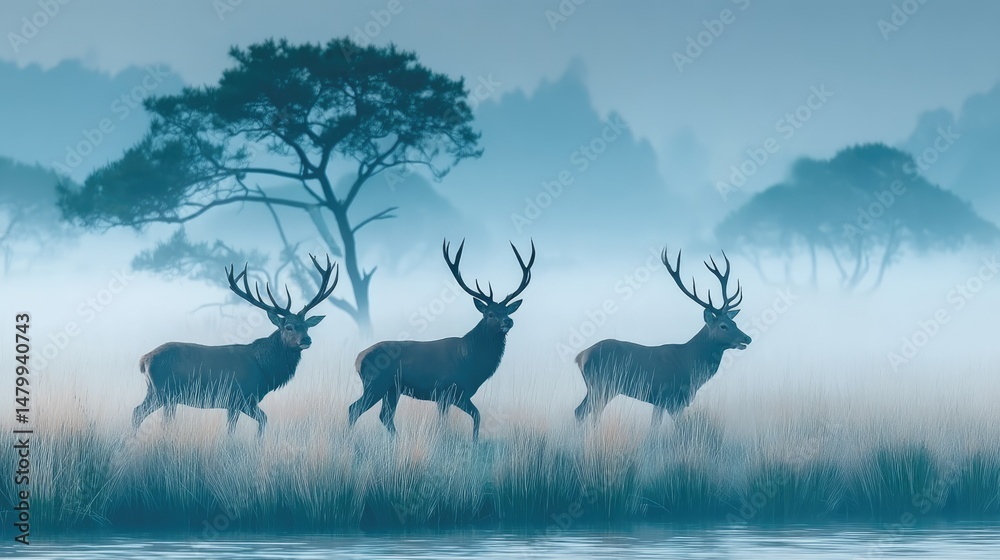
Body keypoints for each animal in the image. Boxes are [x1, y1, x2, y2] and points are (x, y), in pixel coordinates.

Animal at [131, 254, 339, 437]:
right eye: (288, 327)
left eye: (306, 326)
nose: (306, 340)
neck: (264, 369)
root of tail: (143, 360)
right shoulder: (238, 397)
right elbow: (235, 429)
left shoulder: (245, 400)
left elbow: (263, 420)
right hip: (164, 392)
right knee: (146, 415)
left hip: (159, 393)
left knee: (139, 413)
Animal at [348, 239, 535, 440]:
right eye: (491, 313)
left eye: (507, 311)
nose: (508, 321)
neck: (471, 361)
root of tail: (358, 359)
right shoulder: (445, 391)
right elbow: (444, 423)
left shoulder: (461, 395)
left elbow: (477, 415)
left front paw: (475, 442)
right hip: (376, 383)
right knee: (355, 409)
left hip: (391, 389)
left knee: (384, 415)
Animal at [574, 248, 751, 427]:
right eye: (723, 326)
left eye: (734, 322)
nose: (747, 338)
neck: (690, 363)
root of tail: (580, 357)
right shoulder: (671, 398)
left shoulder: (661, 401)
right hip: (602, 385)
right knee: (587, 412)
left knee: (579, 411)